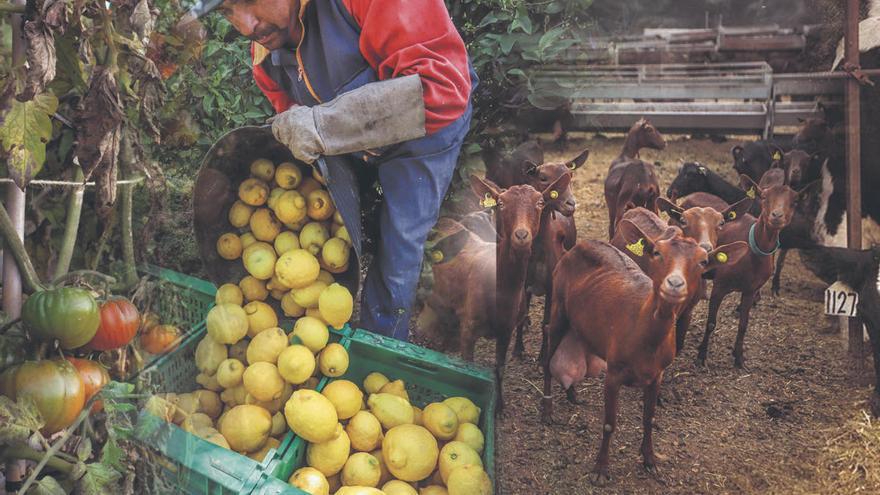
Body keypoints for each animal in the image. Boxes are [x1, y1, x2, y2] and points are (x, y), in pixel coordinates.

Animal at [544, 221, 744, 484]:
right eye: (657, 252)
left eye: (702, 262)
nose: (675, 284)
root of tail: (578, 246)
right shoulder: (613, 372)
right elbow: (609, 423)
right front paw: (600, 469)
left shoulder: (657, 375)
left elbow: (649, 418)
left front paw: (650, 460)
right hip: (558, 303)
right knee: (548, 352)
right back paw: (546, 410)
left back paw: (572, 395)